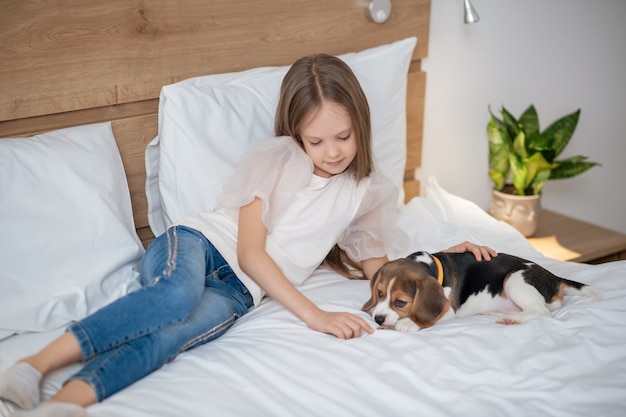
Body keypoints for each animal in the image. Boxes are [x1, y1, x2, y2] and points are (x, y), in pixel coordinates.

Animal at [364, 250, 596, 332]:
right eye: (380, 294)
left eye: (400, 302)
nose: (378, 319)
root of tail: (555, 278)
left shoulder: (450, 310)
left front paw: (408, 323)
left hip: (514, 280)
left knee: (542, 311)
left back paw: (512, 320)